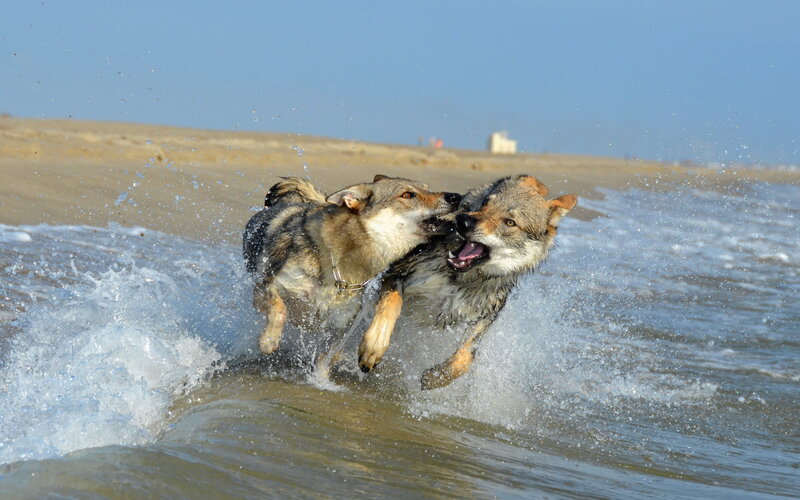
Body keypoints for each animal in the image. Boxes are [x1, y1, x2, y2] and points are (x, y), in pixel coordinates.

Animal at [242, 175, 461, 356]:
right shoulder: (265, 288)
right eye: (408, 195)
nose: (456, 196)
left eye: (428, 189)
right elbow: (280, 310)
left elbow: (325, 361)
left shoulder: (340, 326)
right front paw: (269, 340)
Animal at [356, 175, 577, 389]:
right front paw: (374, 347)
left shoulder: (483, 316)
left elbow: (465, 358)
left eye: (510, 222)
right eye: (486, 203)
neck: (459, 279)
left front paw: (435, 378)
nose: (464, 221)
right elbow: (391, 305)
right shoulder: (397, 274)